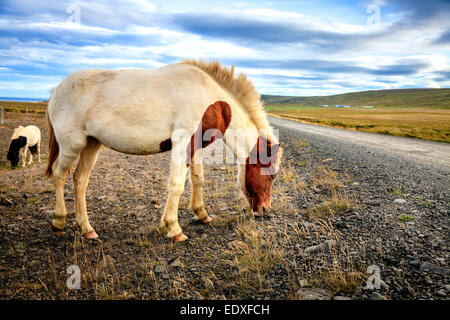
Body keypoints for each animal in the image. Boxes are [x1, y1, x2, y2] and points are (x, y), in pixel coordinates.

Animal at [45, 60, 282, 242]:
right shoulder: (182, 142)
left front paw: (201, 214)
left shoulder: (196, 145)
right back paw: (58, 221)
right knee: (58, 175)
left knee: (79, 180)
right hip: (72, 146)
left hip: (91, 144)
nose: (264, 210)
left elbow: (198, 179)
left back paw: (87, 229)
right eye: (272, 176)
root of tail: (56, 90)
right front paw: (174, 229)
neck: (208, 96)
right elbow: (177, 185)